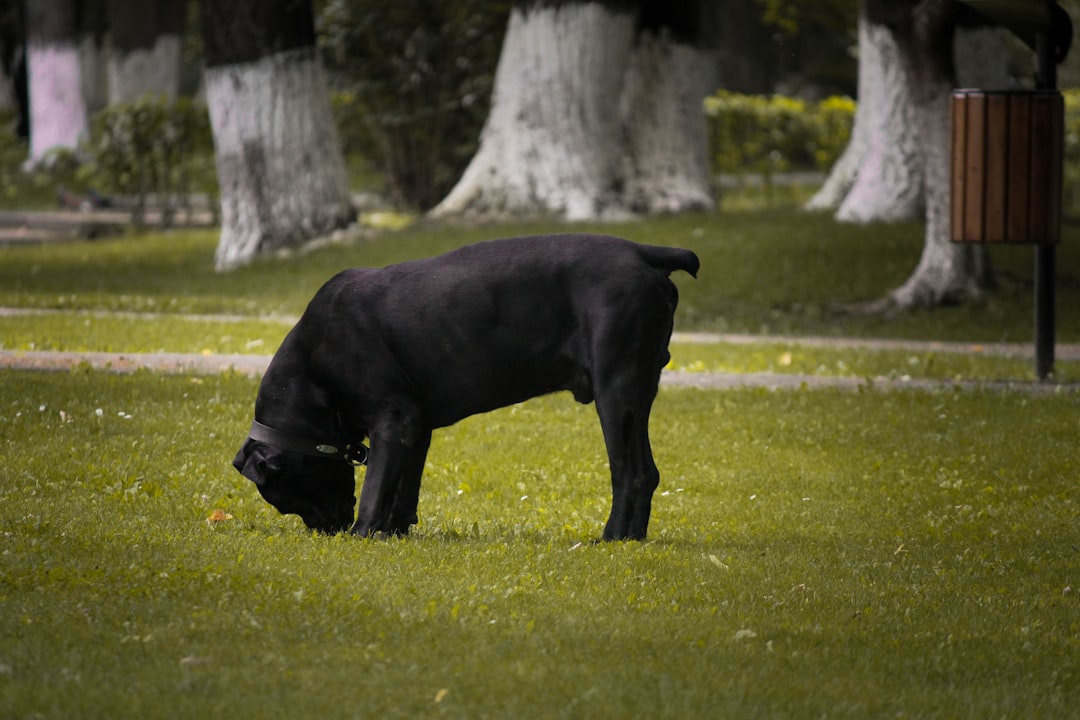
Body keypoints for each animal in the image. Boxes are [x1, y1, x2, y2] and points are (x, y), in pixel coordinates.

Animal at [232, 235, 695, 539]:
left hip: (616, 391)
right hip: (636, 391)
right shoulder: (415, 427)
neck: (312, 366)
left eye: (286, 499)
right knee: (648, 472)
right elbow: (404, 486)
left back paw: (613, 536)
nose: (327, 531)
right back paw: (634, 538)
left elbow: (377, 487)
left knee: (630, 472)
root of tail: (642, 251)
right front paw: (394, 531)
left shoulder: (393, 419)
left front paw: (365, 531)